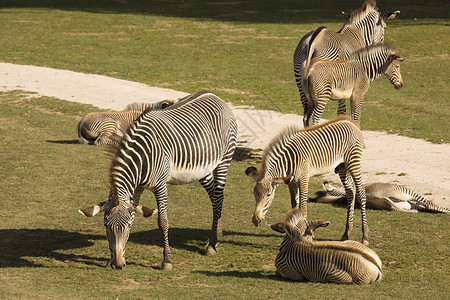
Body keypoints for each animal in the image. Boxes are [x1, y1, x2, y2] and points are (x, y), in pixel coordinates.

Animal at [78, 91, 237, 270]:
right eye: (106, 226)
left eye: (127, 226)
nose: (118, 265)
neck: (140, 158)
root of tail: (215, 96)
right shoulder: (137, 188)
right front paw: (110, 260)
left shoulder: (160, 185)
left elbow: (163, 221)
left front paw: (166, 260)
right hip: (203, 169)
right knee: (214, 198)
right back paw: (216, 234)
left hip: (224, 160)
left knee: (218, 197)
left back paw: (212, 245)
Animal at [246, 116, 370, 245]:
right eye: (254, 194)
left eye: (269, 195)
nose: (255, 220)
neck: (289, 161)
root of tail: (352, 123)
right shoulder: (291, 182)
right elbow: (294, 205)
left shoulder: (303, 178)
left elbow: (303, 207)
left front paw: (301, 234)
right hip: (342, 167)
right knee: (351, 191)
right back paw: (346, 233)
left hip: (353, 162)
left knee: (361, 192)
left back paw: (365, 236)